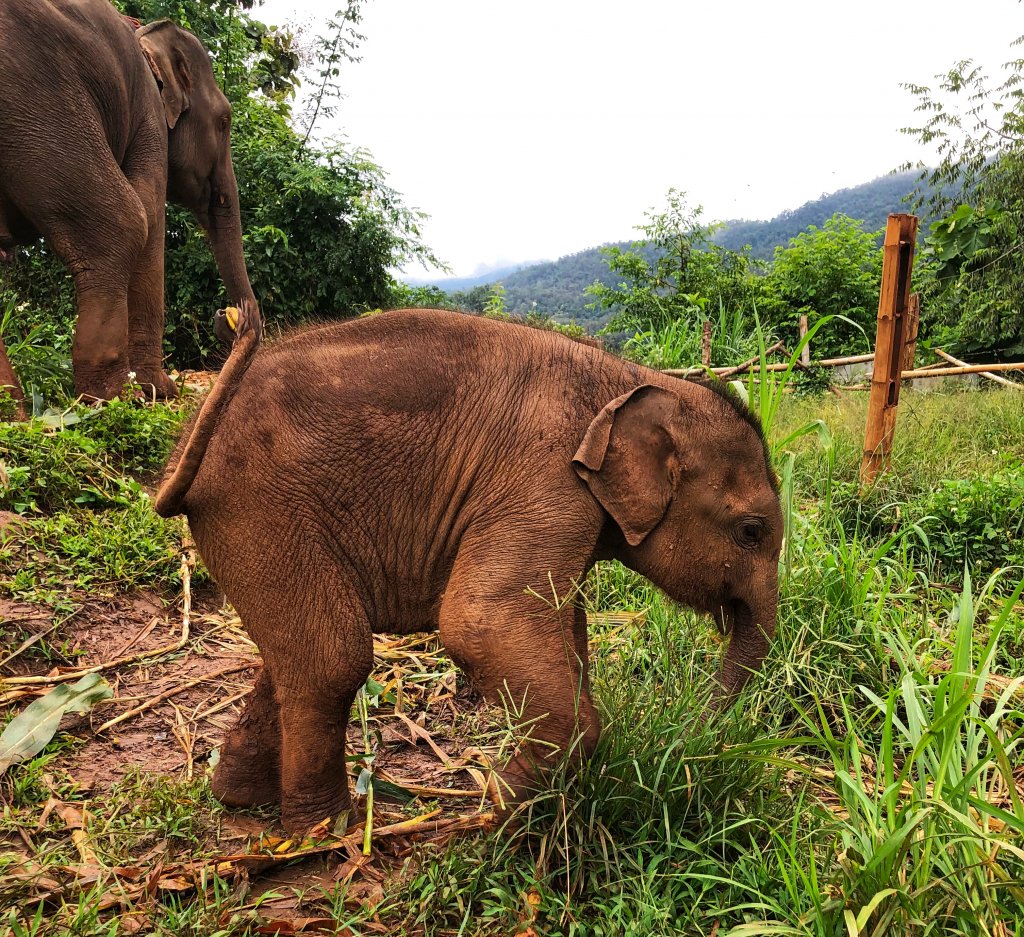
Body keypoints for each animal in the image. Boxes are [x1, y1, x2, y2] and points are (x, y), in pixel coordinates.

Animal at [0, 0, 262, 403]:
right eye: (224, 122)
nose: (225, 315)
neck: (146, 35)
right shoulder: (149, 114)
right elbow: (150, 215)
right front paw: (158, 390)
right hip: (39, 98)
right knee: (119, 226)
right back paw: (110, 398)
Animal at [155, 309, 778, 835]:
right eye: (751, 532)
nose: (694, 731)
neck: (631, 378)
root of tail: (187, 442)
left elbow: (562, 627)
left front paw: (515, 799)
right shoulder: (543, 476)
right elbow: (483, 624)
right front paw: (499, 808)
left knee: (295, 653)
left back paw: (242, 799)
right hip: (263, 505)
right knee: (333, 656)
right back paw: (330, 832)